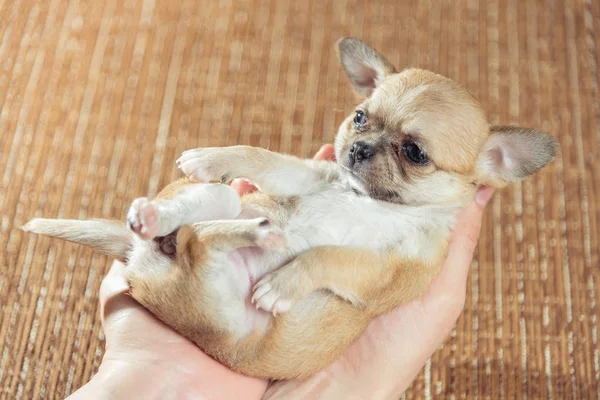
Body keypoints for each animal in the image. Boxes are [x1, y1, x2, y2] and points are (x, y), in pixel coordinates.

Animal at [23, 36, 556, 378]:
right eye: (359, 117)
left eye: (415, 153)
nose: (358, 149)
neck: (366, 199)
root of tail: (138, 256)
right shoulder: (308, 176)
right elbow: (261, 157)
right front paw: (214, 156)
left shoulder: (389, 269)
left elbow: (329, 256)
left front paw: (282, 284)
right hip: (224, 206)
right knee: (202, 222)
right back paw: (163, 216)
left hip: (219, 308)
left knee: (201, 241)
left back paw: (256, 238)